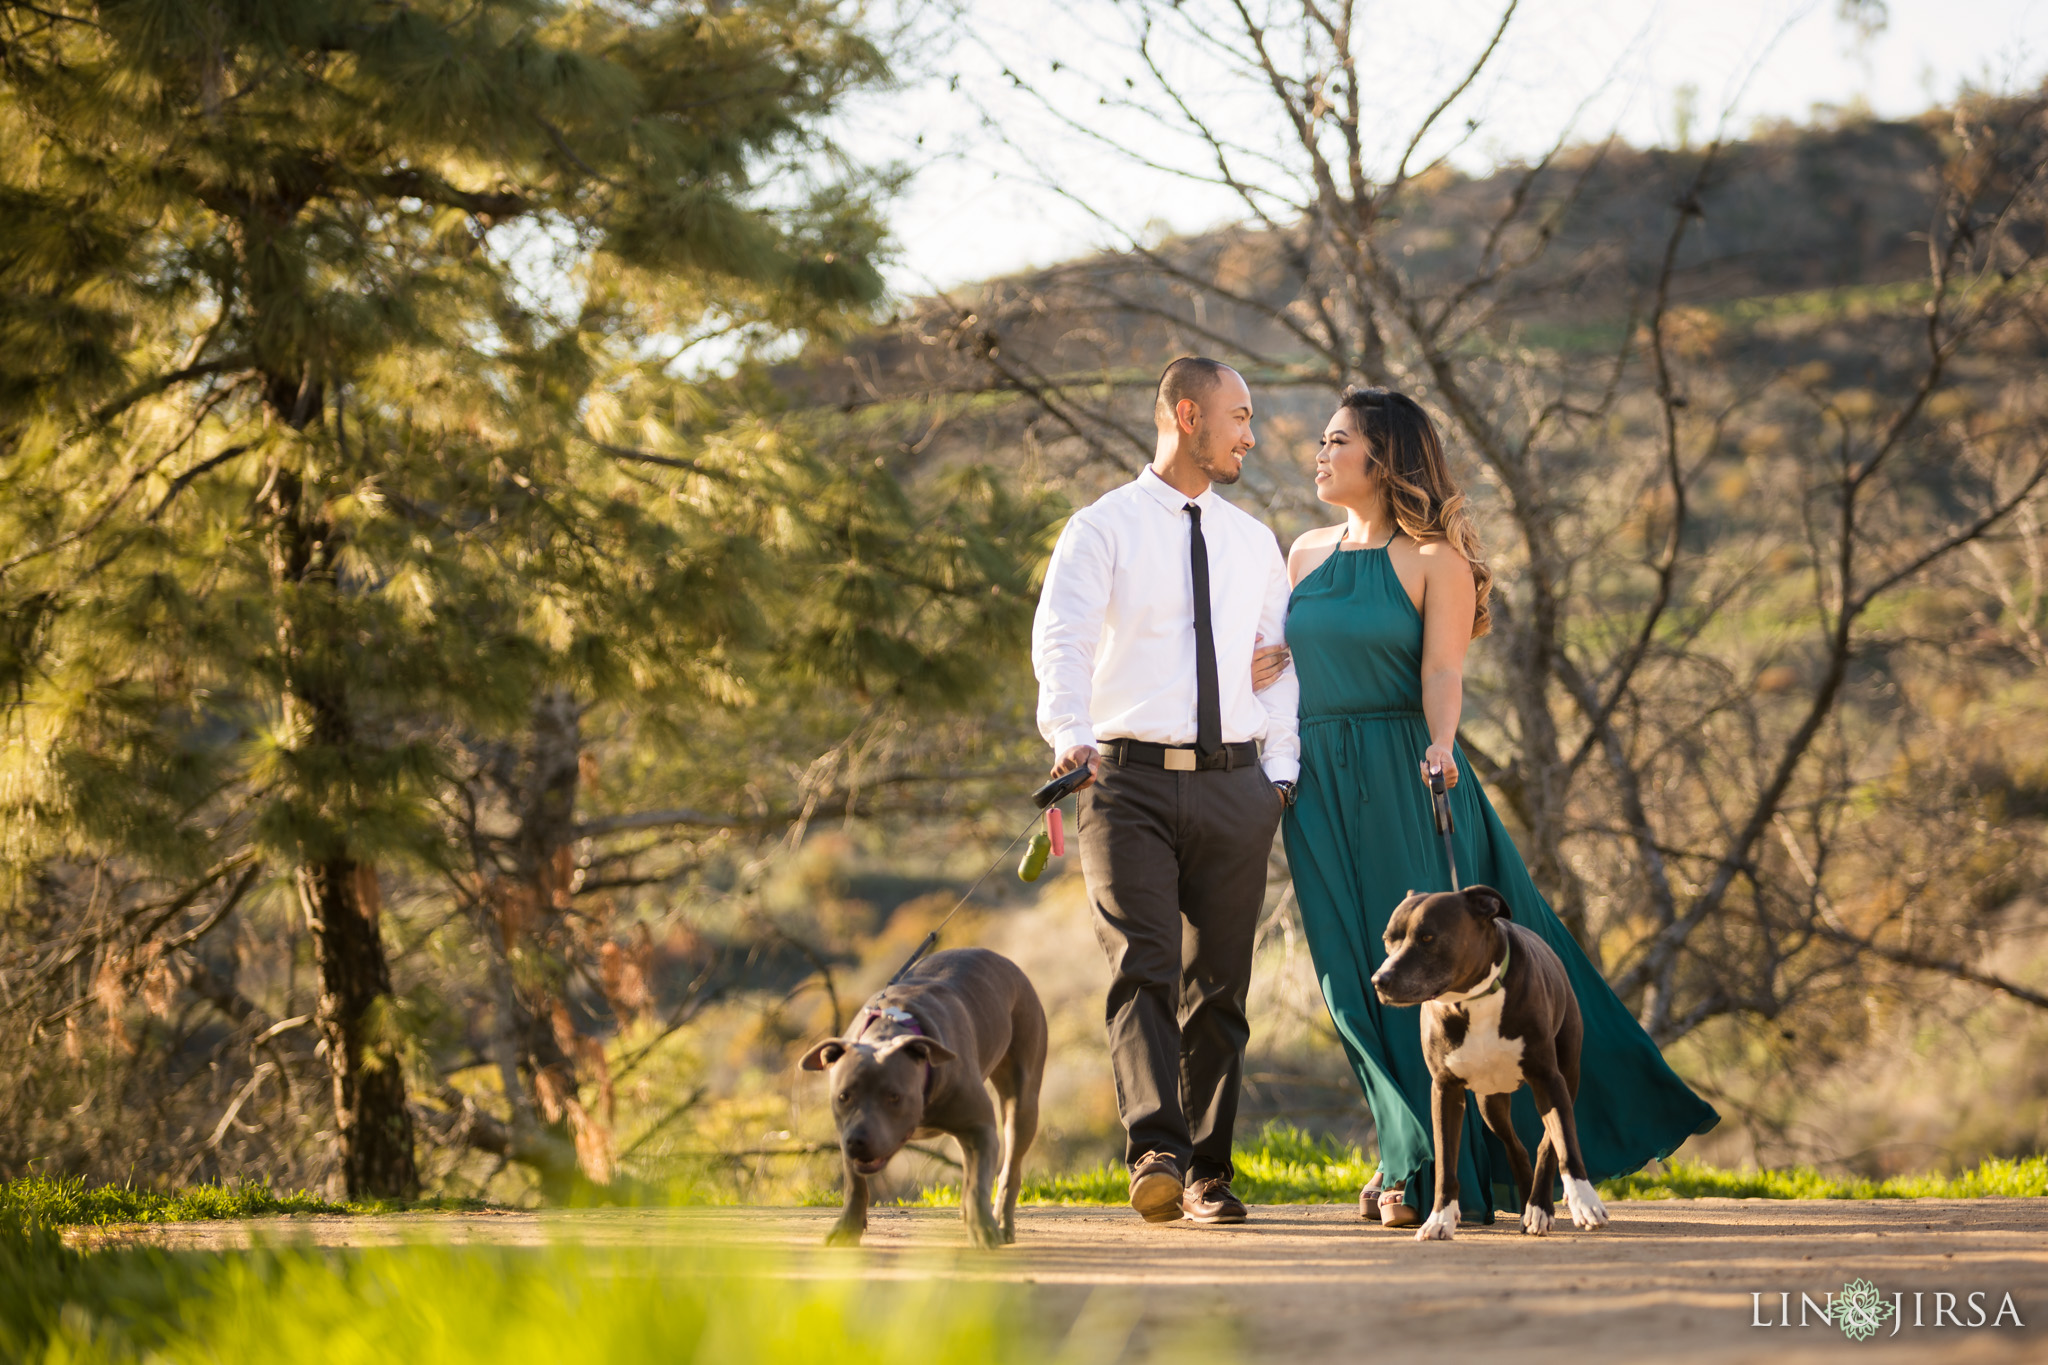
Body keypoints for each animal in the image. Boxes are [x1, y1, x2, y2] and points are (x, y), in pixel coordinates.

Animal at [798, 949, 1048, 1252]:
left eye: (894, 1096)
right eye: (844, 1096)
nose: (857, 1140)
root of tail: (1000, 958)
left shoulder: (981, 1128)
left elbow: (978, 1183)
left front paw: (983, 1230)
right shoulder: (845, 1132)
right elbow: (855, 1185)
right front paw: (847, 1229)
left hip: (1021, 1101)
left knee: (1010, 1167)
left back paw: (1001, 1222)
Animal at [1368, 892, 1605, 1244]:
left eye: (1427, 938)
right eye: (1388, 941)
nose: (1378, 980)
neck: (1473, 999)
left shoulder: (1548, 1079)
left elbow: (1564, 1141)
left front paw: (1585, 1201)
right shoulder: (1445, 1090)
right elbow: (1446, 1164)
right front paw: (1439, 1220)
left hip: (1567, 1077)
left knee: (1547, 1144)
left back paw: (1539, 1208)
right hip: (1490, 1103)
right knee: (1517, 1148)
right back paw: (1529, 1208)